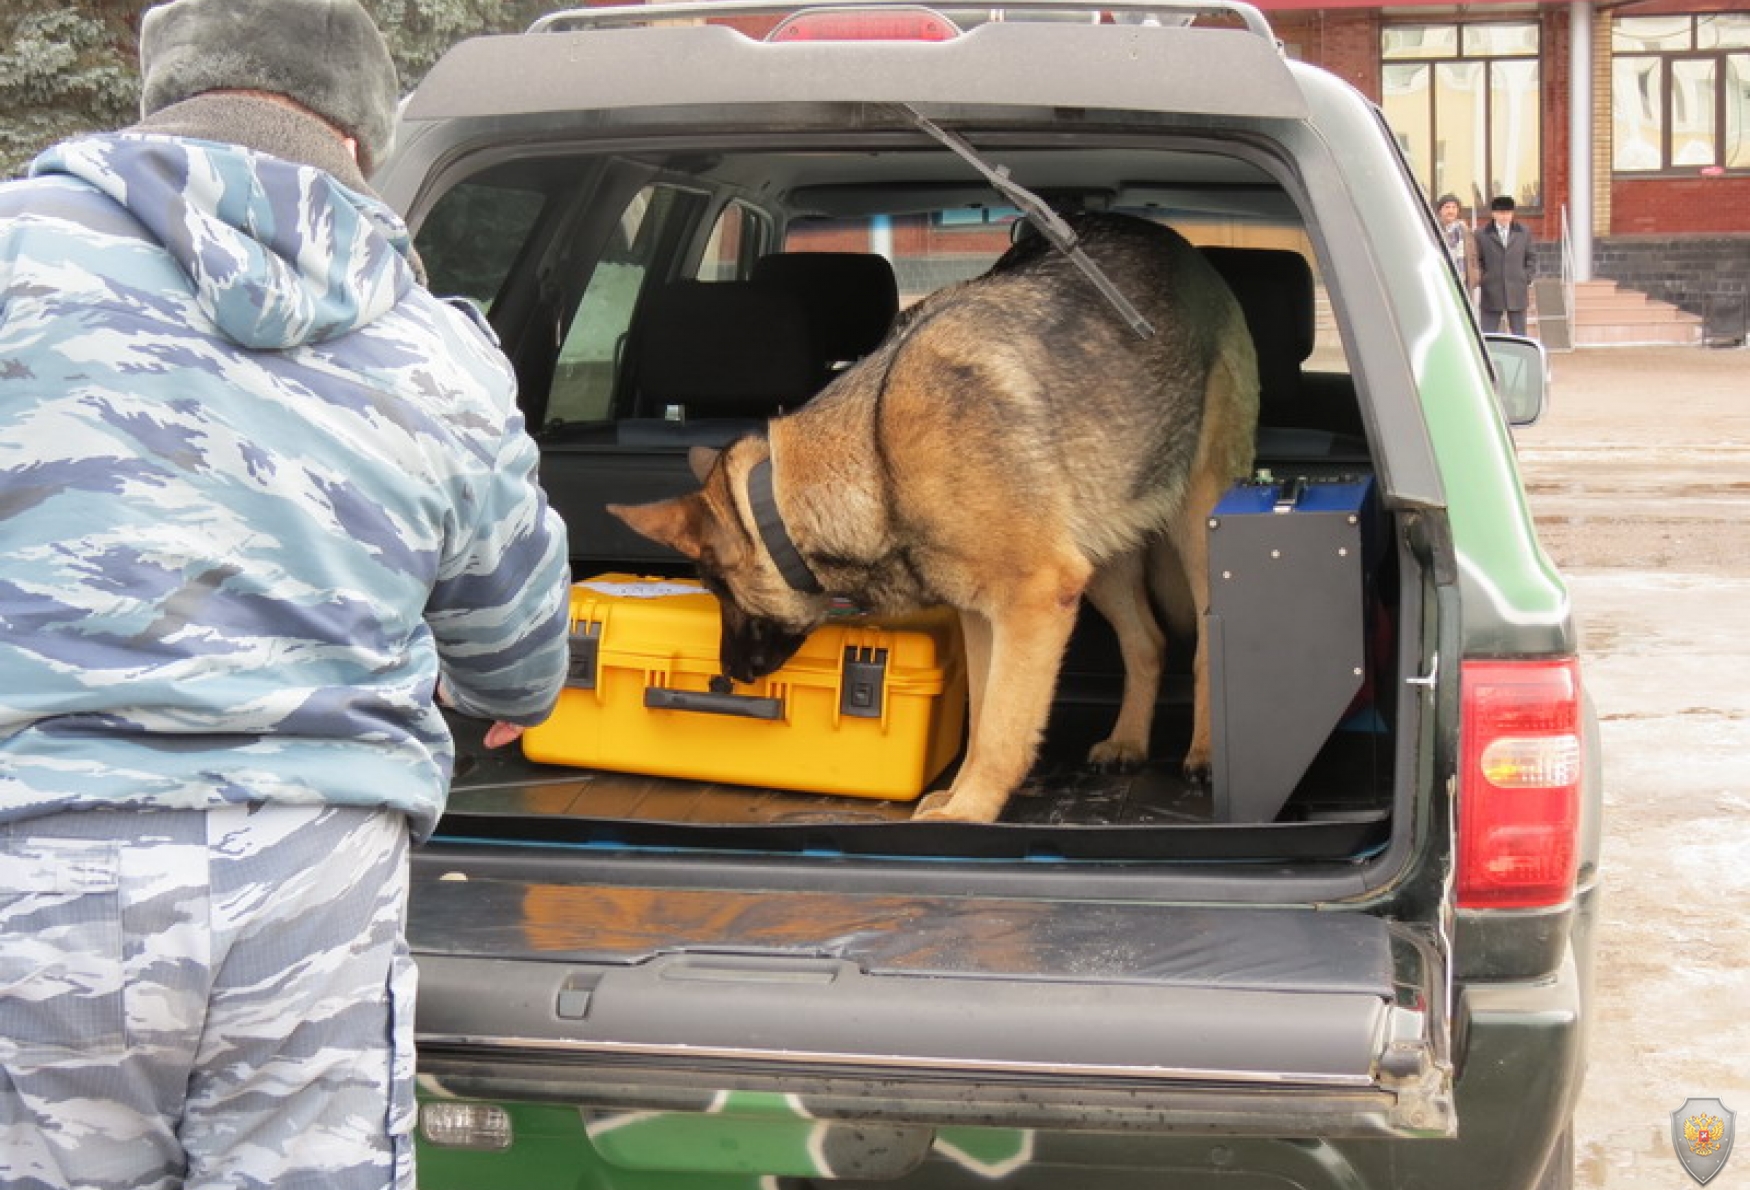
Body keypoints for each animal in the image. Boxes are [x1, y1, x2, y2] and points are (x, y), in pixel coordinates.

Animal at [616, 213, 1260, 822]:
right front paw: (957, 793)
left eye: (718, 591)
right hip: (1102, 553)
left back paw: (1205, 753)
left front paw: (971, 810)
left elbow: (1001, 728)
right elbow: (982, 720)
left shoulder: (1033, 604)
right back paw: (1127, 741)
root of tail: (1178, 244)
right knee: (1147, 640)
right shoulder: (987, 613)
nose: (728, 676)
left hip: (1195, 526)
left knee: (1206, 638)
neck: (877, 460)